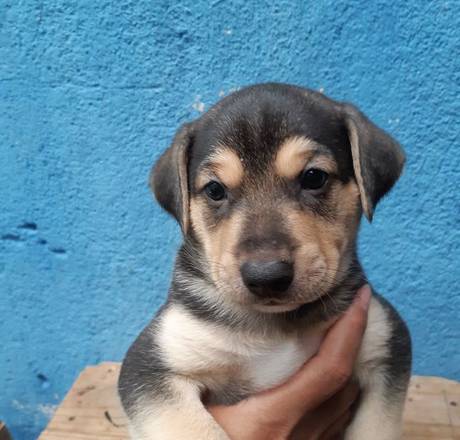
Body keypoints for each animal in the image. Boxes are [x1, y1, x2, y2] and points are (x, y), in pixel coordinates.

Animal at [118, 83, 412, 439]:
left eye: (314, 177)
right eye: (215, 190)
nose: (267, 276)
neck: (275, 327)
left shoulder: (386, 345)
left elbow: (376, 426)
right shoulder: (152, 366)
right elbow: (197, 429)